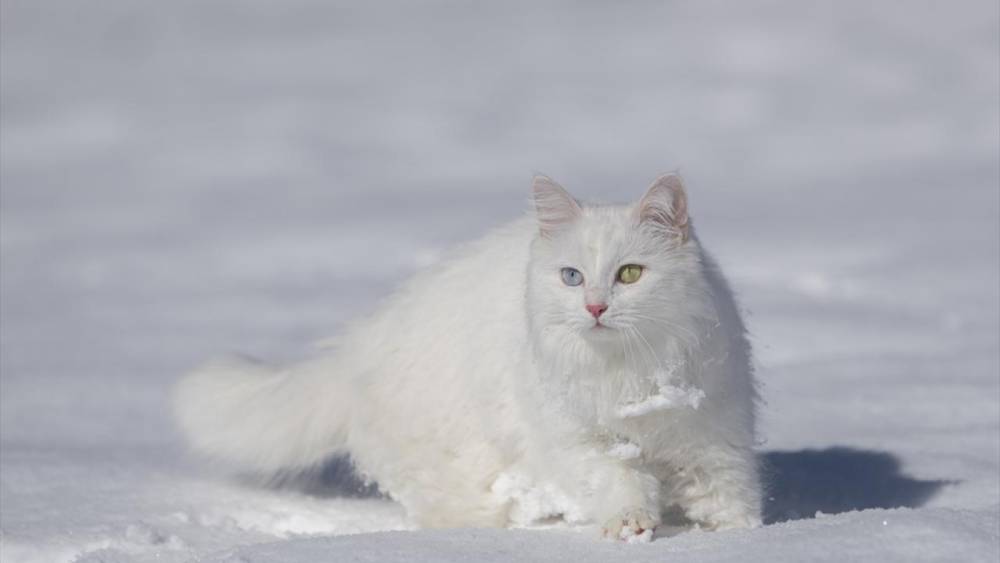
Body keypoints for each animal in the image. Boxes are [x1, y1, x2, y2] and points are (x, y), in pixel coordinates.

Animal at [174, 175, 764, 540]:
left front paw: (742, 540)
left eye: (631, 274)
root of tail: (360, 341)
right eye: (571, 276)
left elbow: (730, 501)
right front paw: (631, 525)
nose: (595, 306)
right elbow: (619, 482)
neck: (630, 377)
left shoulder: (714, 439)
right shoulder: (576, 442)